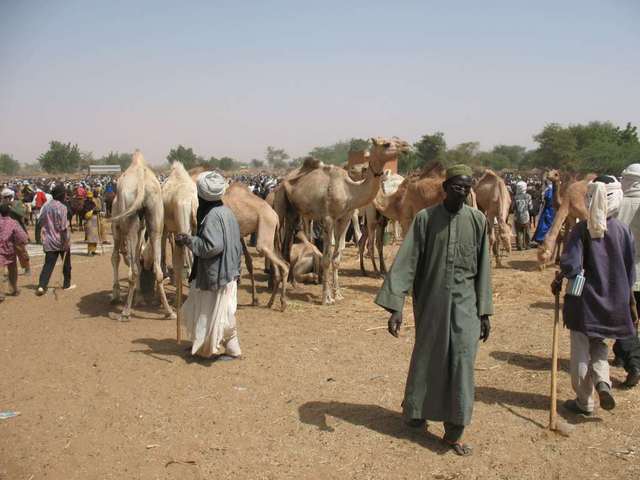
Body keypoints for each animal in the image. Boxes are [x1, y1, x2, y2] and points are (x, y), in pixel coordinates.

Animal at [110, 149, 174, 322]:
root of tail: (141, 182)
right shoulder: (142, 229)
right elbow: (138, 260)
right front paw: (139, 299)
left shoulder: (116, 228)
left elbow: (115, 258)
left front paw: (116, 295)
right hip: (156, 213)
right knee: (157, 269)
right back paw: (169, 311)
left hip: (129, 222)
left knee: (133, 270)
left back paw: (125, 312)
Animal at [222, 182, 288, 310]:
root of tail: (276, 217)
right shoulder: (240, 235)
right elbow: (248, 262)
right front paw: (255, 299)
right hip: (271, 237)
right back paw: (270, 302)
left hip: (265, 230)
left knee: (284, 265)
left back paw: (283, 303)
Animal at [276, 136, 410, 304]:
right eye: (386, 144)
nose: (406, 146)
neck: (349, 190)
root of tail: (285, 178)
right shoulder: (328, 218)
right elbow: (326, 258)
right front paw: (326, 298)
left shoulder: (344, 218)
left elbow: (337, 257)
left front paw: (338, 294)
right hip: (282, 204)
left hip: (296, 212)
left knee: (289, 242)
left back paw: (290, 281)